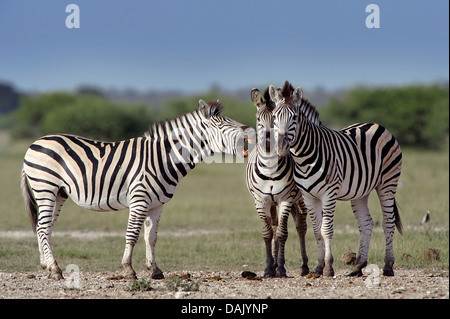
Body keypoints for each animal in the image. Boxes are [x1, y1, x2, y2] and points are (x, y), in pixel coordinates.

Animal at [21, 99, 255, 280]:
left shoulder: (157, 204)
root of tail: (35, 143)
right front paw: (128, 270)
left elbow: (151, 237)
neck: (163, 158)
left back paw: (46, 266)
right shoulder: (139, 199)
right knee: (43, 227)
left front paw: (155, 270)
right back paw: (55, 269)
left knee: (44, 227)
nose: (250, 130)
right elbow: (132, 234)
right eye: (223, 126)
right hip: (45, 188)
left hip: (59, 193)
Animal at [246, 87, 310, 278]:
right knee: (274, 227)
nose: (269, 143)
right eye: (259, 120)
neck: (270, 169)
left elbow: (282, 233)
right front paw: (269, 268)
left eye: (274, 120)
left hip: (300, 199)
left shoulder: (285, 199)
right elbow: (268, 233)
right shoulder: (261, 201)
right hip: (272, 203)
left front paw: (281, 268)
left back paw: (304, 266)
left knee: (301, 227)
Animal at [268, 82, 402, 278]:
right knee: (366, 223)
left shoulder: (328, 194)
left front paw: (328, 267)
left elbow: (326, 230)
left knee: (388, 223)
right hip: (360, 191)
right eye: (274, 117)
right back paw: (358, 266)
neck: (304, 159)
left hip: (388, 183)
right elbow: (317, 231)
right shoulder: (309, 197)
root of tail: (376, 124)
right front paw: (318, 267)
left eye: (294, 117)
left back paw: (388, 266)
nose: (282, 148)